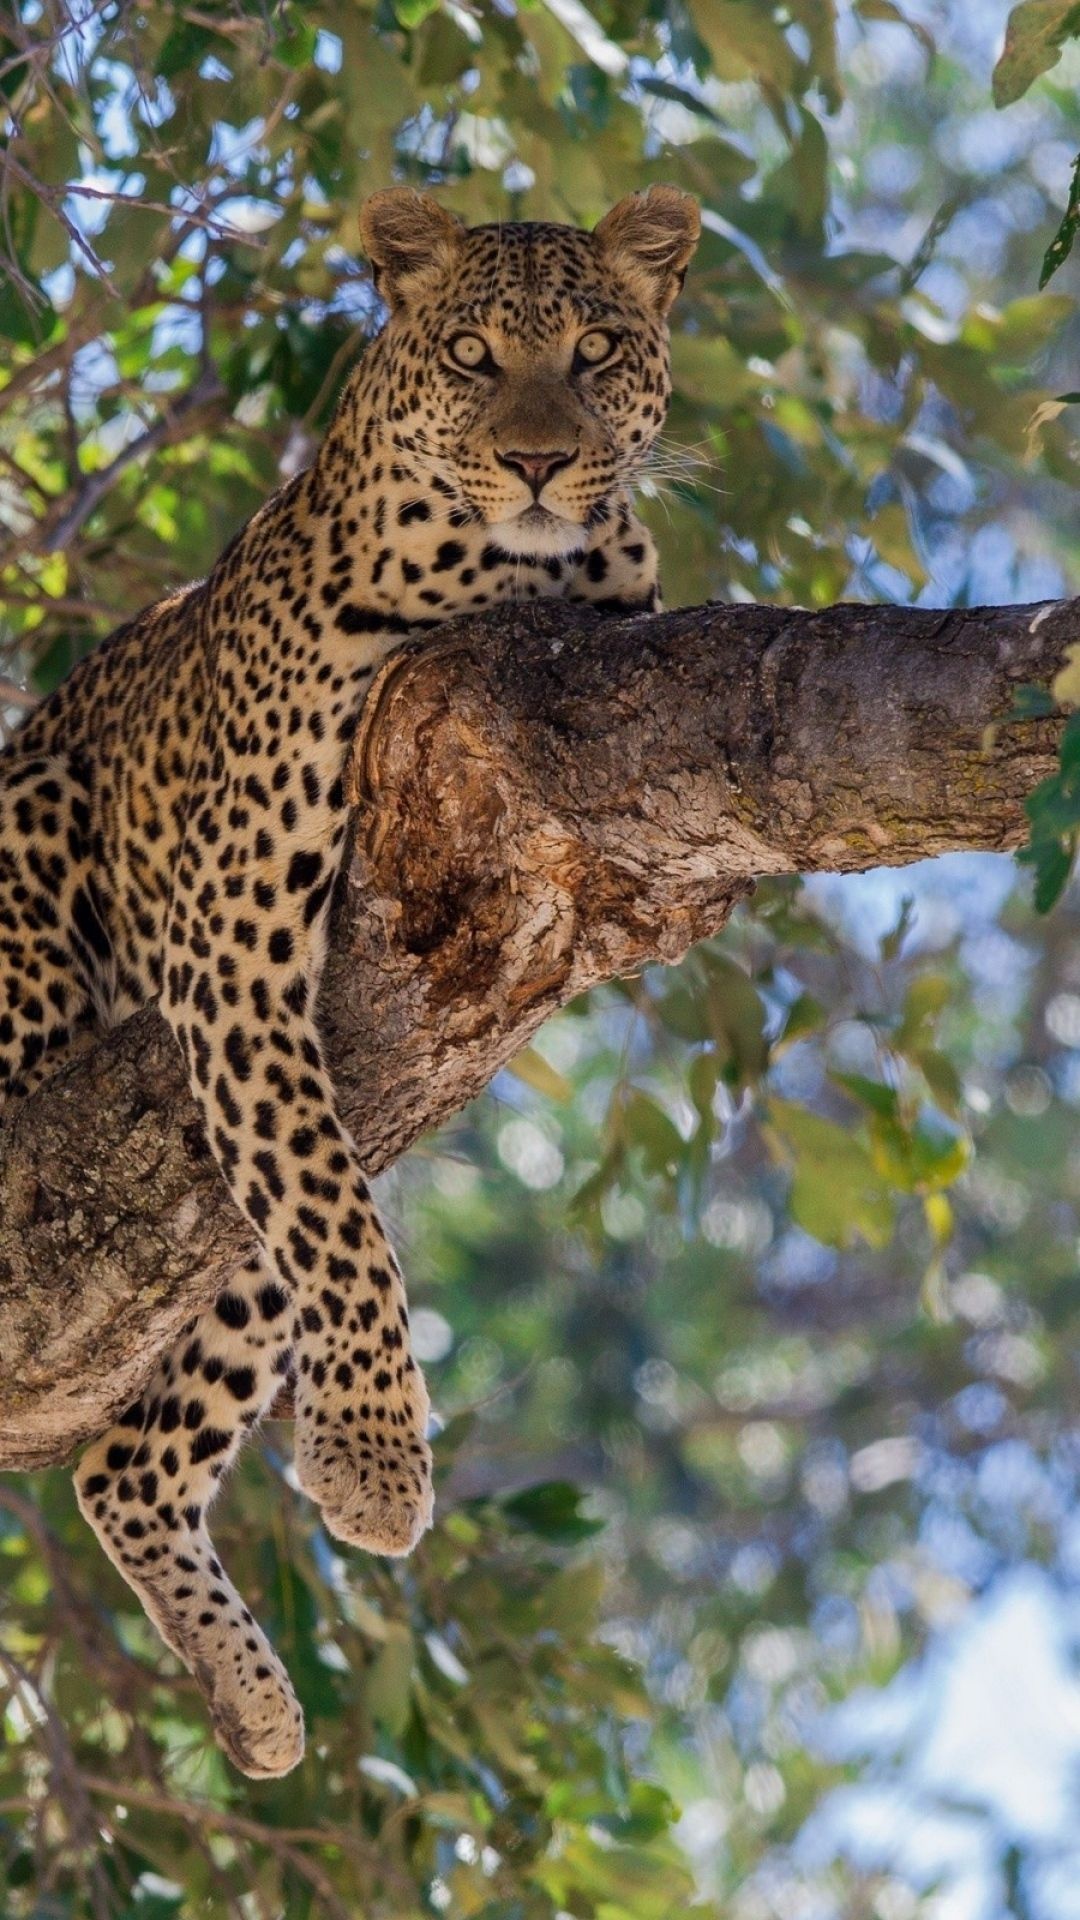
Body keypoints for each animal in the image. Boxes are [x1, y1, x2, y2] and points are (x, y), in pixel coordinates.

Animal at [0, 187, 699, 1774]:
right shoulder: (231, 940)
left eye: (595, 350)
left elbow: (329, 1217)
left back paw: (253, 1705)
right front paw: (379, 1460)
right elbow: (341, 1226)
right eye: (471, 353)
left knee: (126, 1464)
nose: (537, 461)